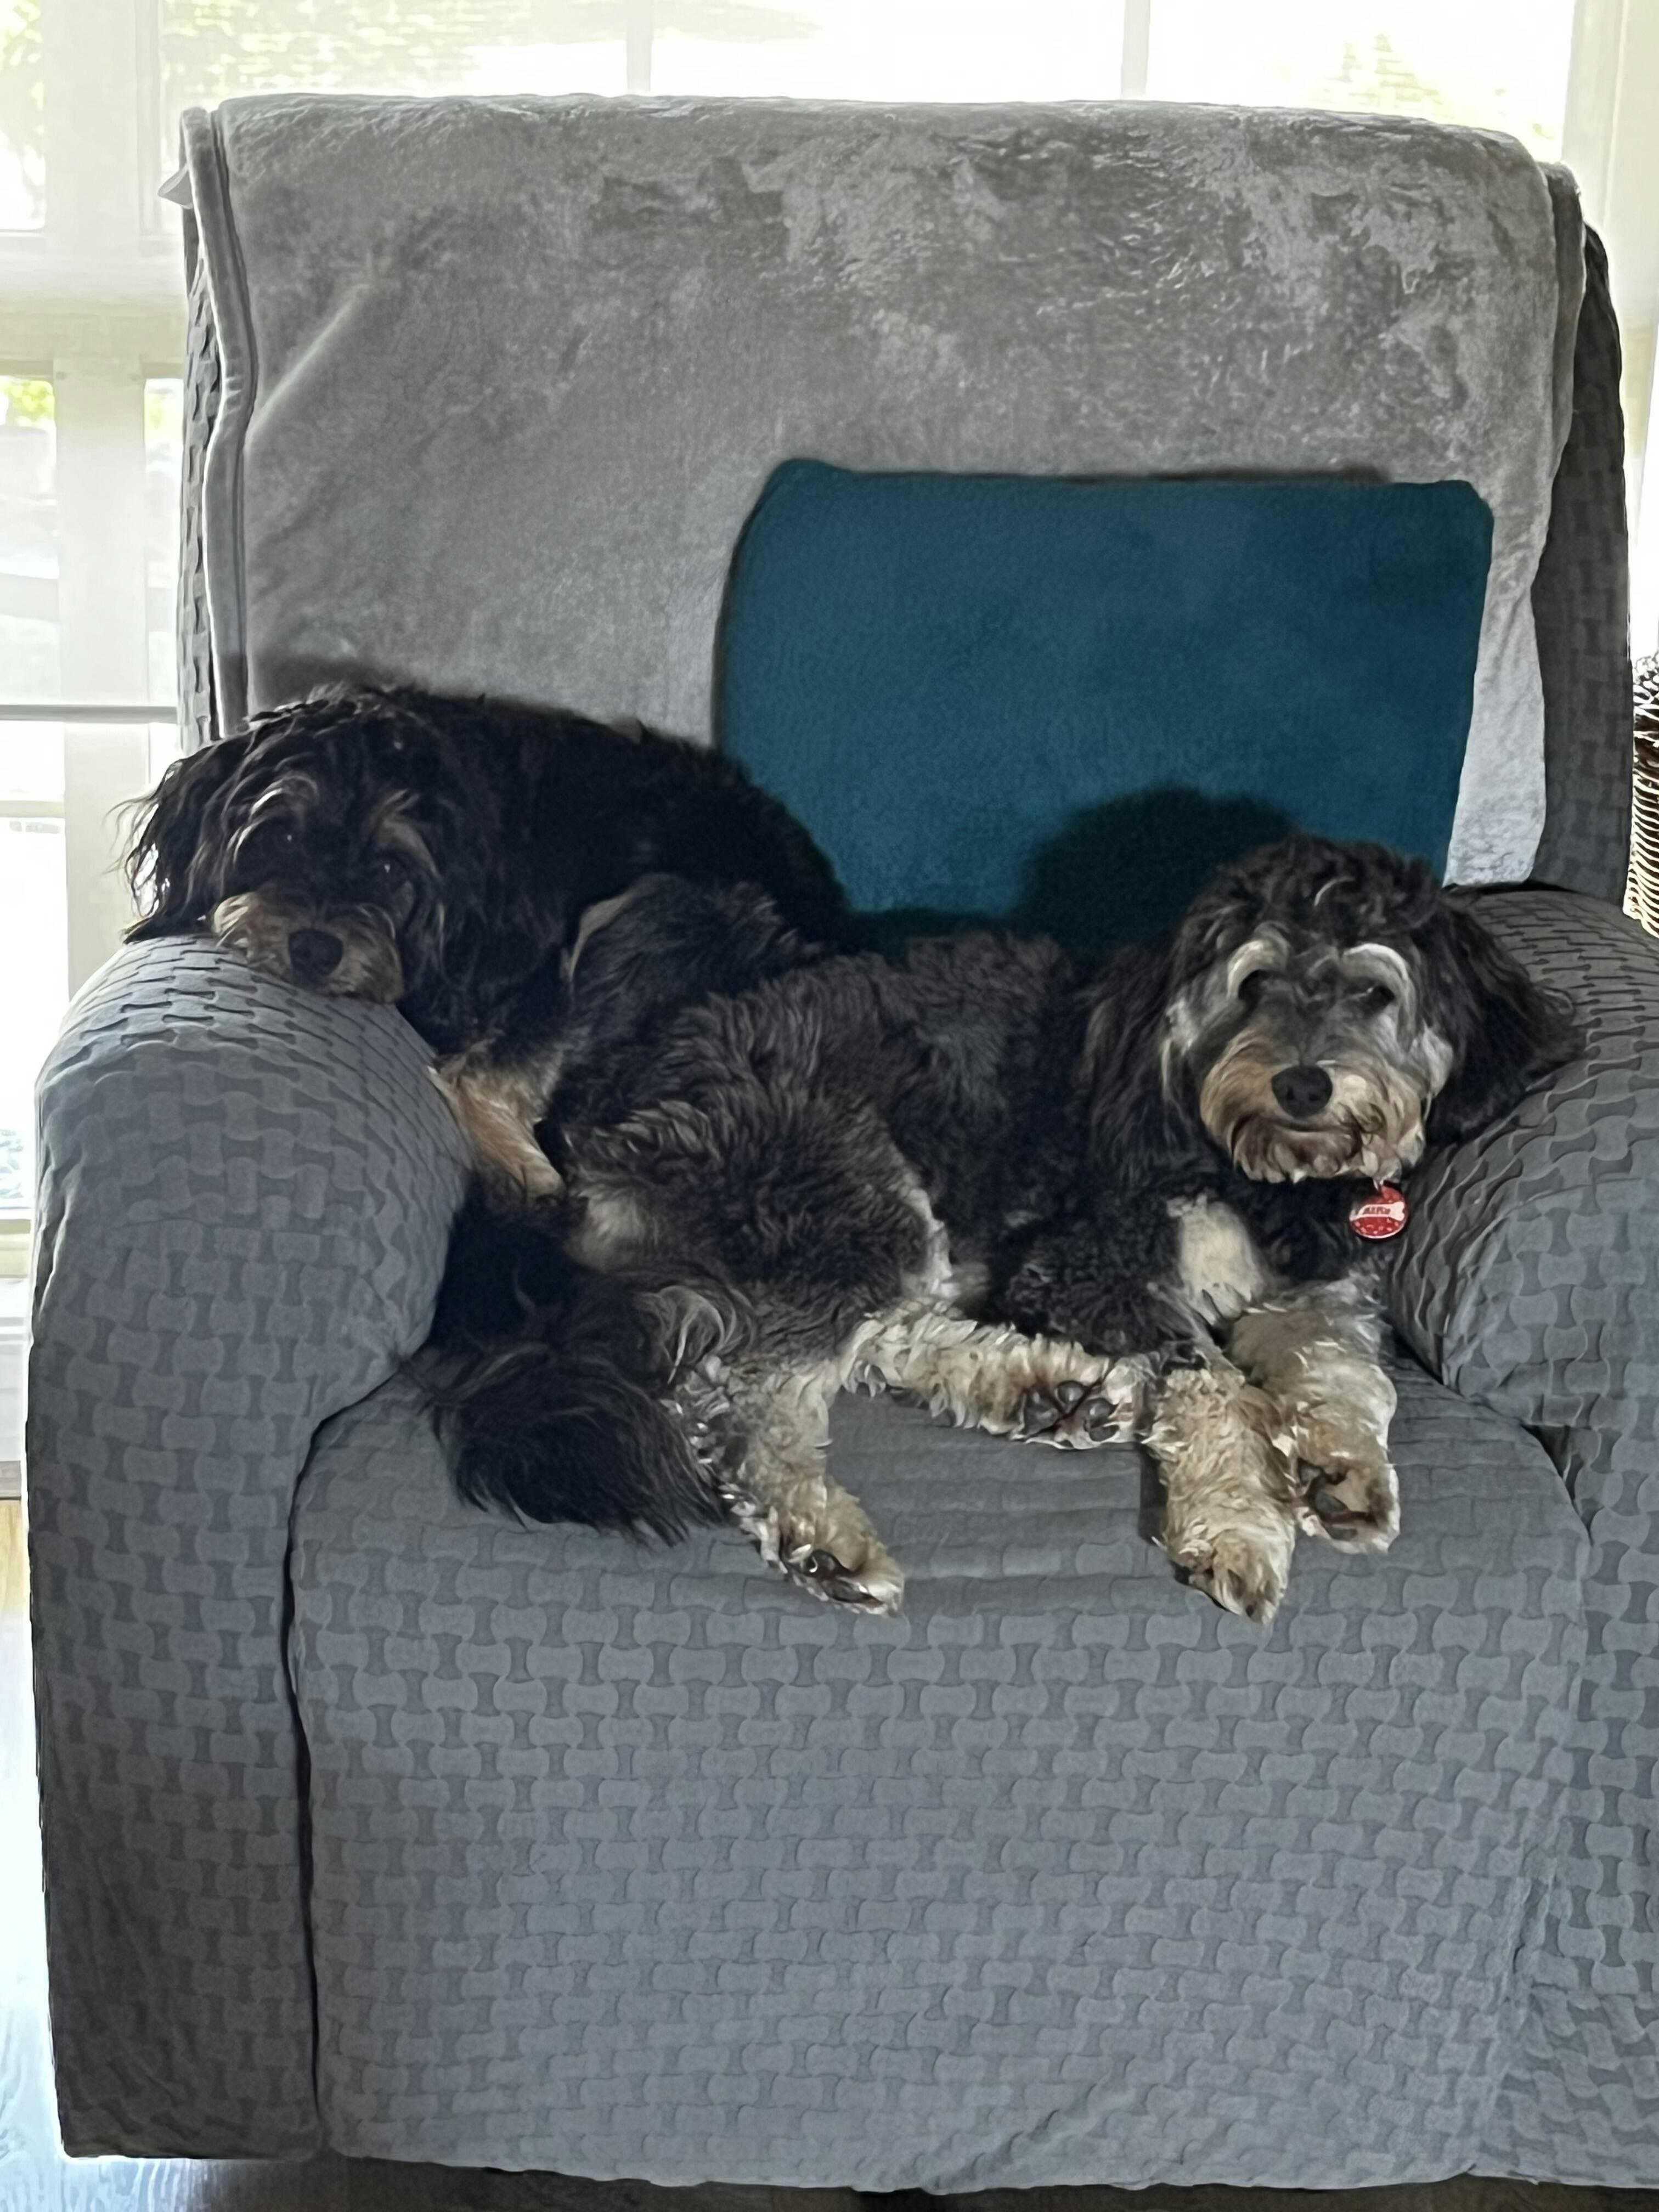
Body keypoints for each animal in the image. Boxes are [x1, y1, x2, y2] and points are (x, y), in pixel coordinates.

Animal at [429, 836, 1579, 1624]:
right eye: (1253, 982)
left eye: (1372, 990)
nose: (1301, 1083)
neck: (1248, 1163)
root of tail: (614, 1100)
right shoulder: (1083, 1264)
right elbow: (1215, 1385)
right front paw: (1238, 1520)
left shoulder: (1312, 1283)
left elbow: (1345, 1366)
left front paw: (1341, 1469)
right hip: (852, 1186)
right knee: (747, 1391)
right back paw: (826, 1534)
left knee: (859, 1340)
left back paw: (1046, 1391)